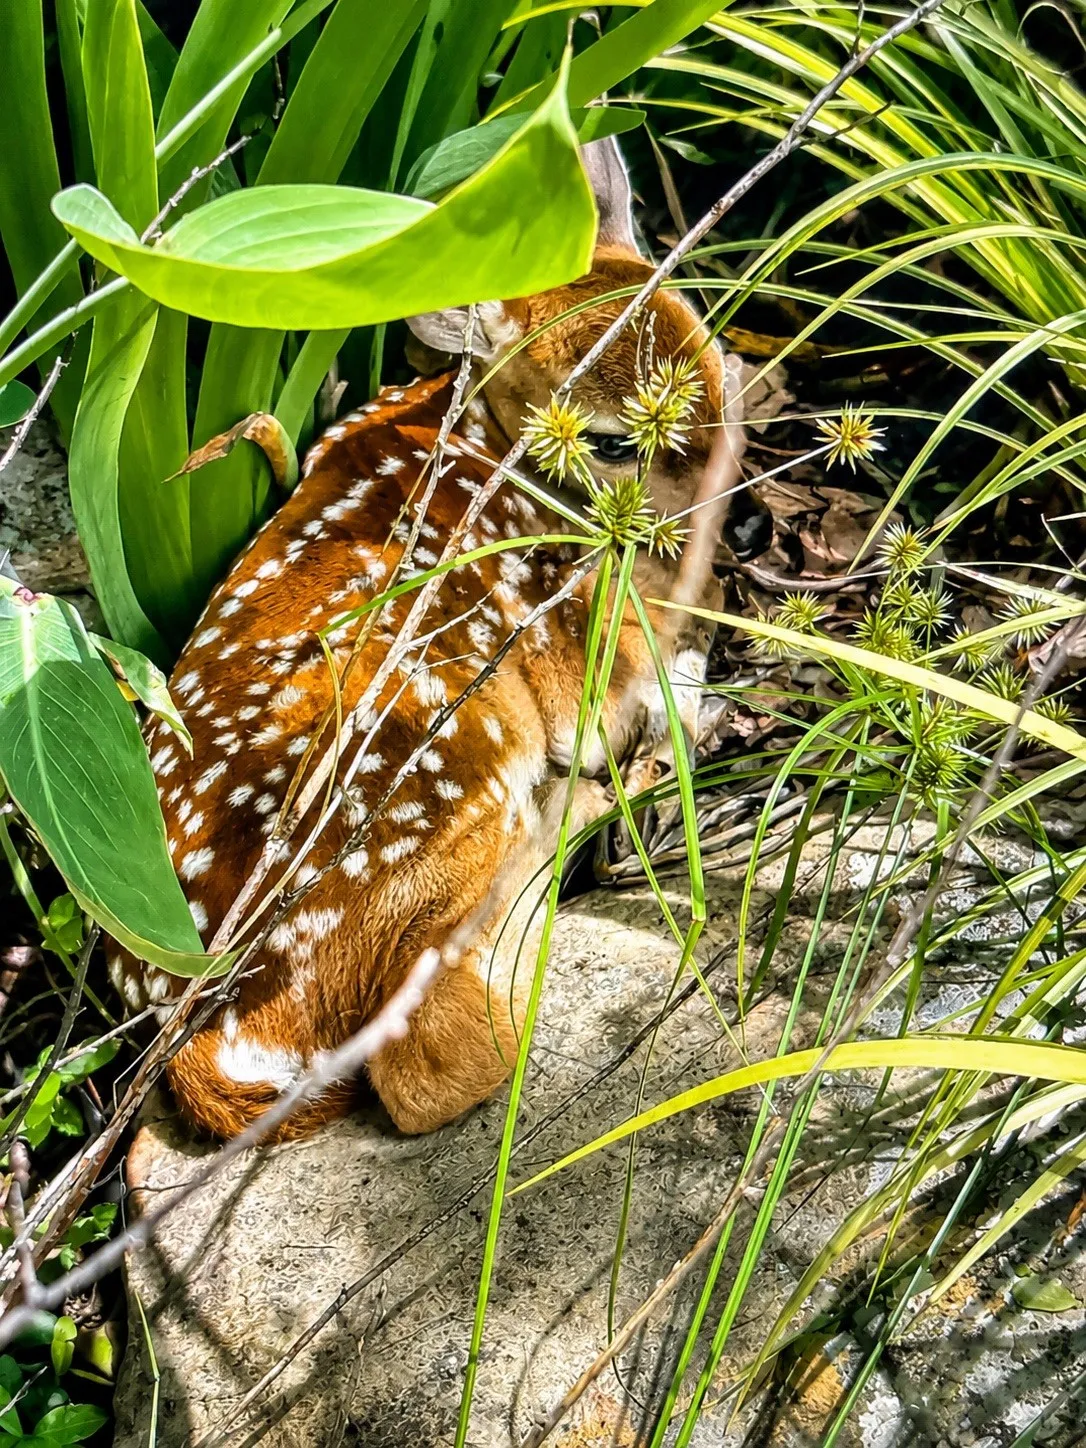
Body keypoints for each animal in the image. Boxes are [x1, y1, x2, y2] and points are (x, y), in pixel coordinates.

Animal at [107, 139, 747, 1140]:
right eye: (612, 441)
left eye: (717, 365)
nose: (738, 510)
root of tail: (211, 1023)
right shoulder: (570, 653)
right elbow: (637, 676)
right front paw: (692, 677)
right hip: (445, 759)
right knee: (435, 1066)